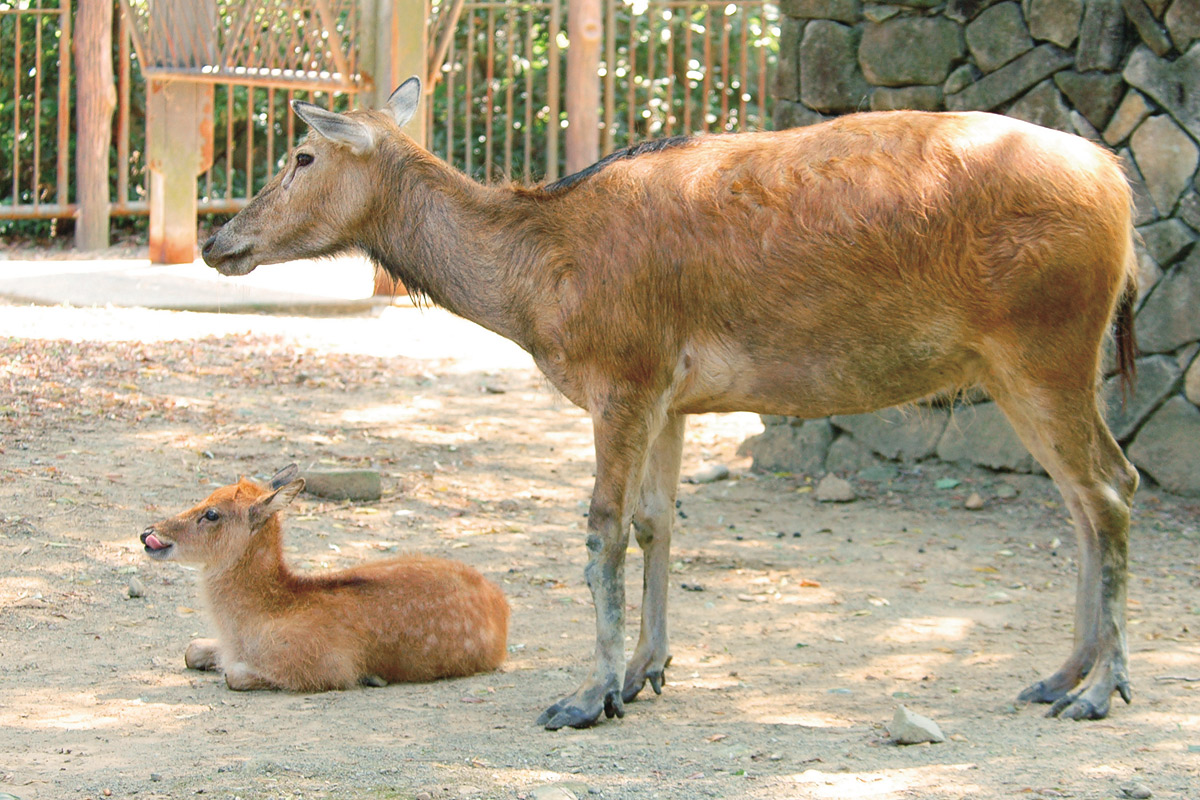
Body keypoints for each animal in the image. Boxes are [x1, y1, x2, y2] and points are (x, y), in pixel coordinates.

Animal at [201, 77, 1137, 729]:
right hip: (1030, 366)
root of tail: (1123, 191)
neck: (535, 288)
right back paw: (1058, 674)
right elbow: (660, 521)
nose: (217, 239)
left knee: (1112, 491)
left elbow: (602, 530)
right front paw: (645, 671)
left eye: (302, 156)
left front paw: (588, 696)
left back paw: (1102, 691)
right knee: (1084, 498)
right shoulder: (676, 397)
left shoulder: (624, 373)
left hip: (1045, 349)